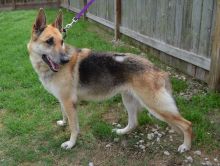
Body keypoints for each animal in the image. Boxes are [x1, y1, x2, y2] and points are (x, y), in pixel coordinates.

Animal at [27, 8, 192, 152]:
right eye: (49, 41)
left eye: (61, 41)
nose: (65, 60)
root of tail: (158, 69)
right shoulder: (63, 100)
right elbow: (64, 114)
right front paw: (63, 122)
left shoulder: (68, 101)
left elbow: (74, 127)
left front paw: (71, 143)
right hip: (129, 100)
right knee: (133, 122)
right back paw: (121, 132)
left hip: (155, 106)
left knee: (187, 124)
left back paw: (186, 146)